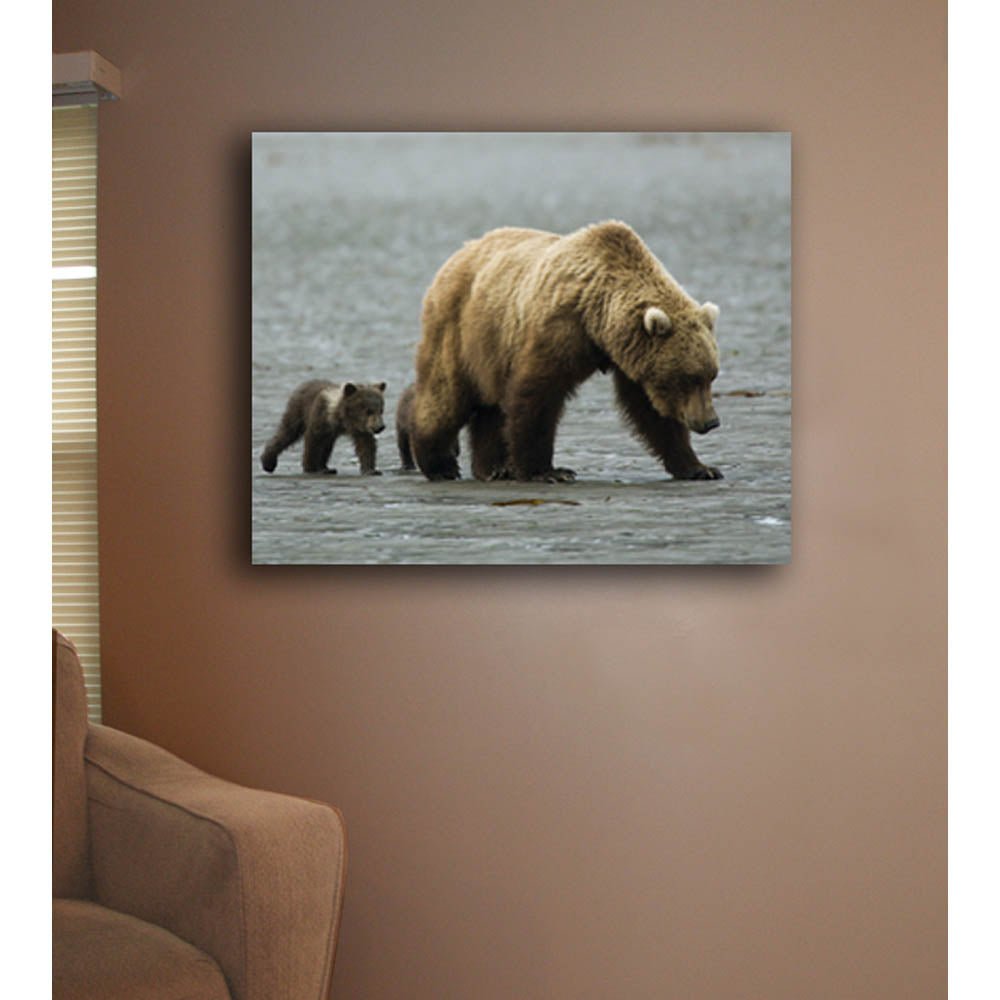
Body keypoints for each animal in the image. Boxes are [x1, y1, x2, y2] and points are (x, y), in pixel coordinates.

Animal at [409, 221, 722, 483]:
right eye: (688, 378)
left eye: (711, 376)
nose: (710, 421)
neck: (598, 319)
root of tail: (459, 253)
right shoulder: (560, 330)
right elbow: (537, 395)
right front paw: (549, 471)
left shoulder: (629, 356)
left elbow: (650, 411)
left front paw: (700, 467)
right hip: (461, 330)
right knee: (446, 395)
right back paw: (439, 464)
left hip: (492, 351)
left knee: (490, 408)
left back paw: (494, 468)